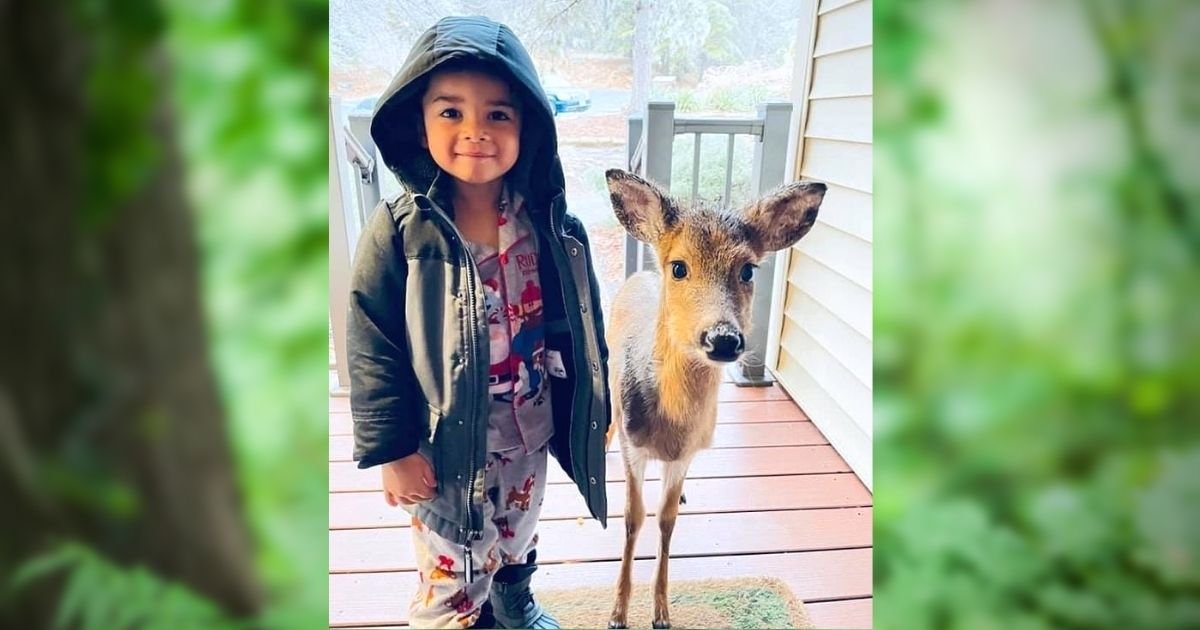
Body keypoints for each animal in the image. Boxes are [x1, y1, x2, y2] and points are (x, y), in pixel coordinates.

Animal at [600, 169, 825, 624]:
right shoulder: (635, 445)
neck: (670, 429)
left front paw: (662, 612)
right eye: (679, 267)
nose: (722, 338)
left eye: (749, 270)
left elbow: (666, 520)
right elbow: (633, 518)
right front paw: (617, 613)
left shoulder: (686, 453)